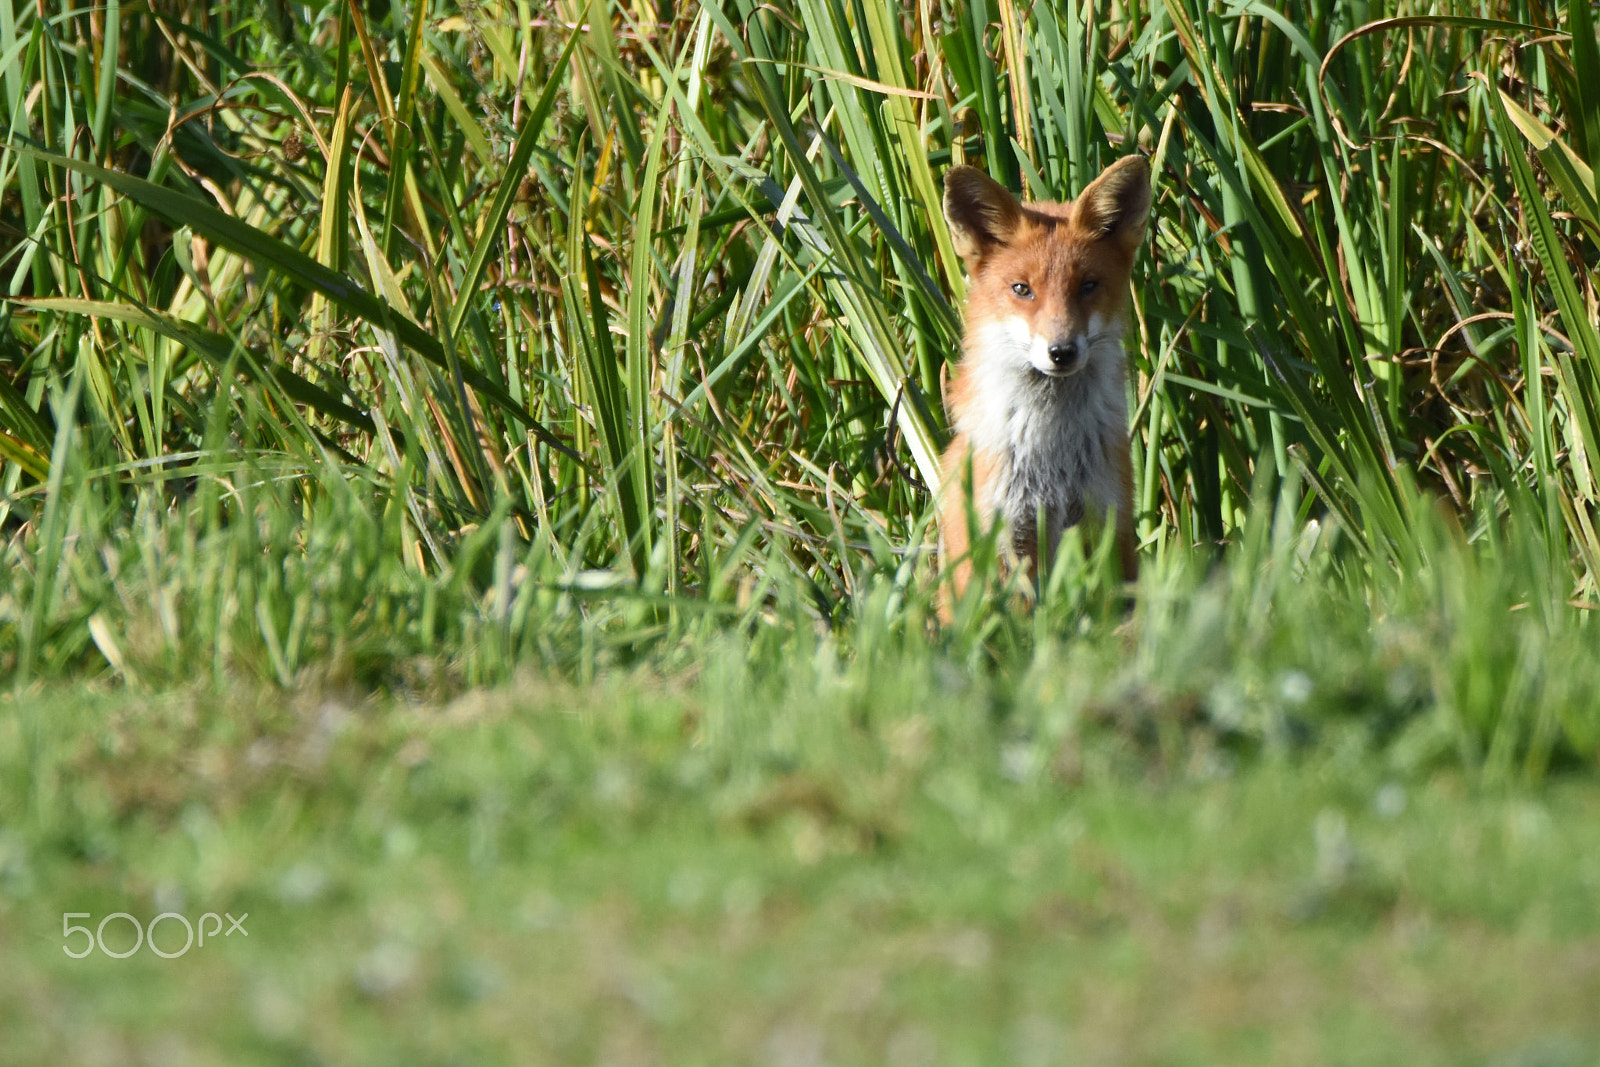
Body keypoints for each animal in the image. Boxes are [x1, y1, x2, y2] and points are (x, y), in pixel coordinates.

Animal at [934, 156, 1152, 617]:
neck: (1053, 457)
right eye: (1022, 289)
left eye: (1087, 285)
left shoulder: (1105, 525)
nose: (1061, 352)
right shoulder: (1006, 540)